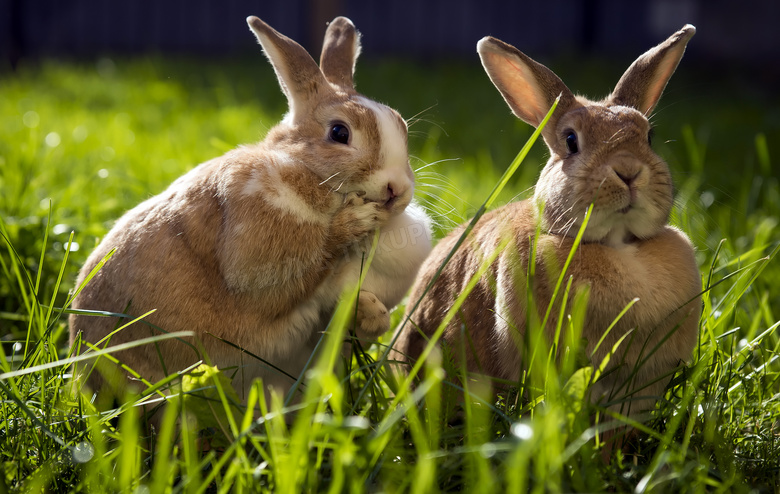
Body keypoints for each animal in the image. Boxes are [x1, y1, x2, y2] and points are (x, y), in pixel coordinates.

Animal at [68, 16, 432, 402]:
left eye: (401, 125)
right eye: (339, 132)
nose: (397, 189)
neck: (310, 175)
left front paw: (372, 314)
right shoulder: (257, 246)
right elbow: (305, 265)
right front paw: (357, 222)